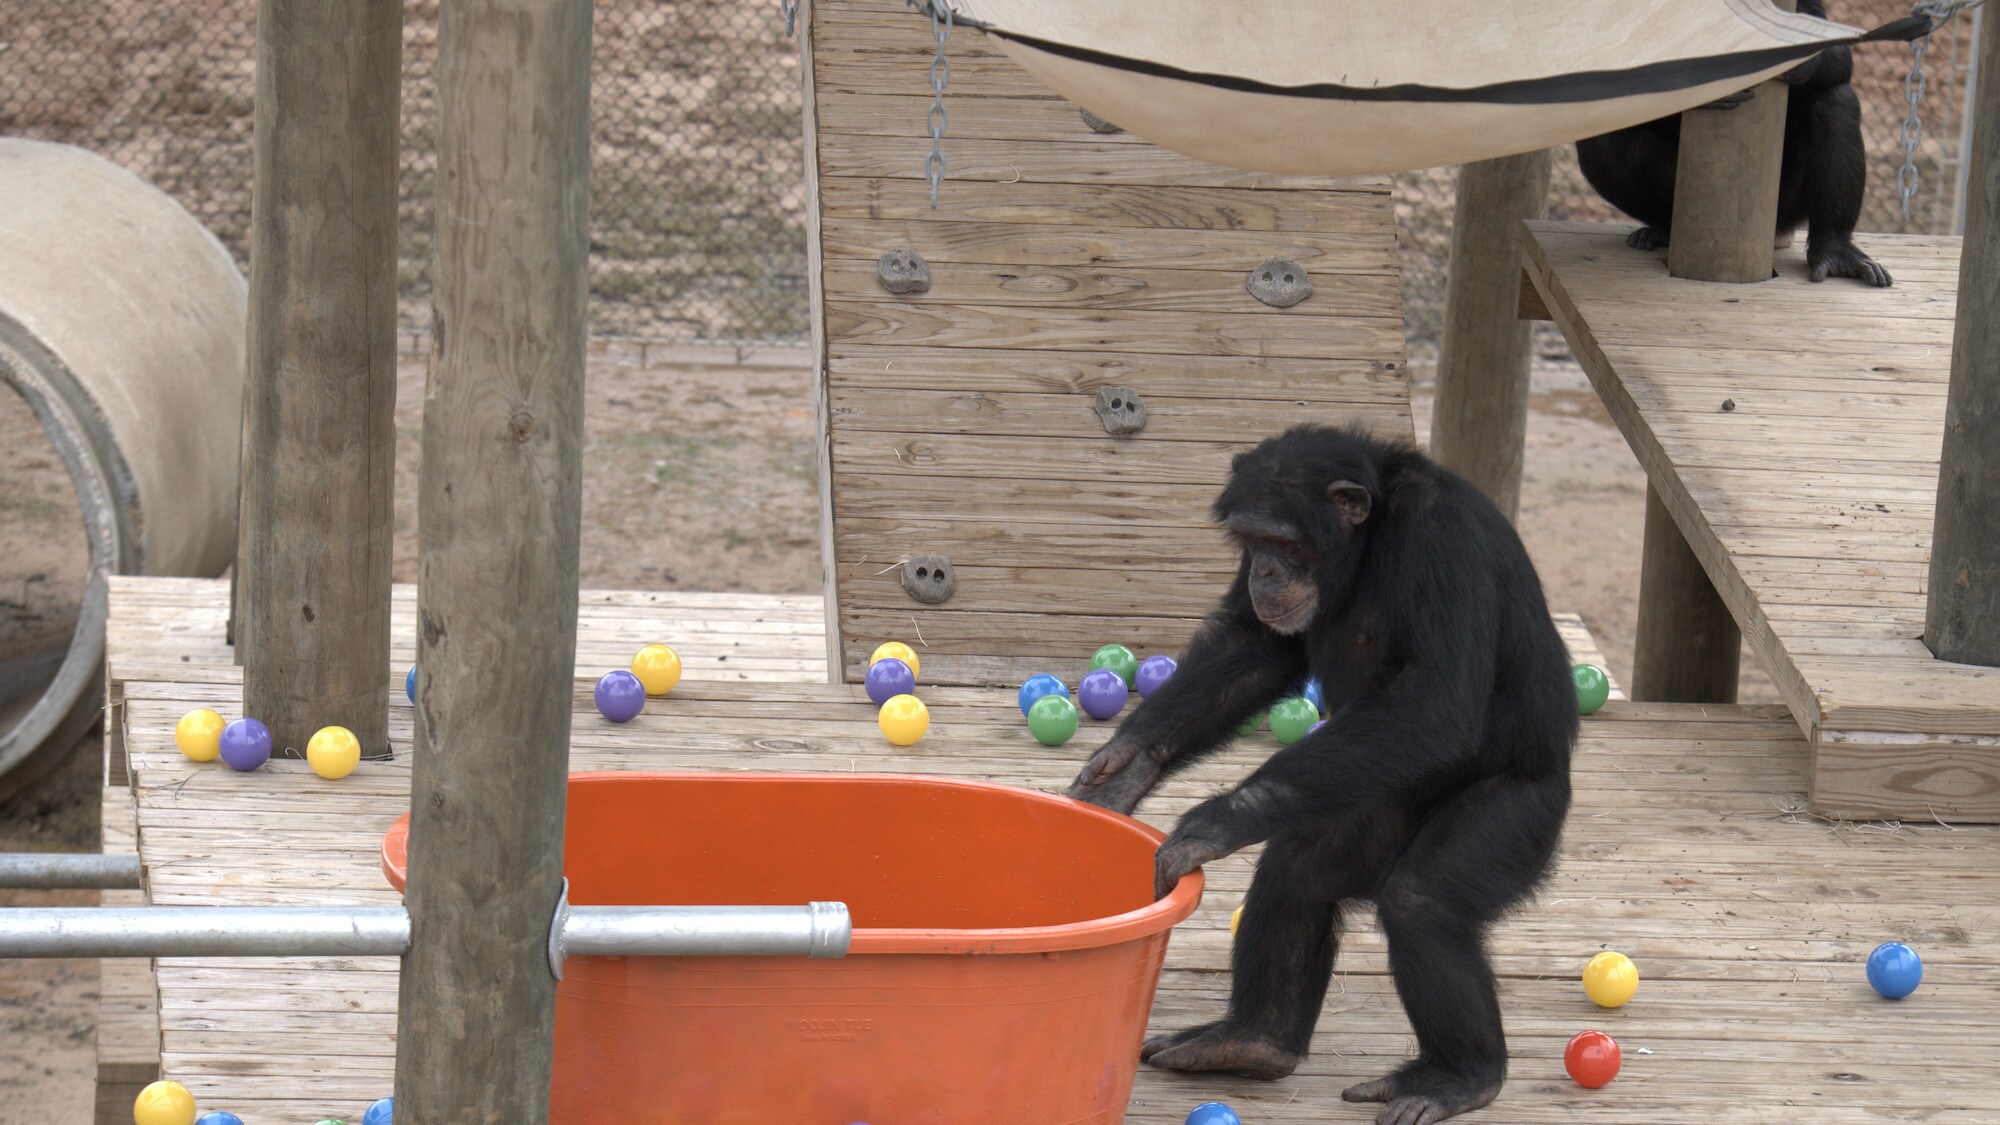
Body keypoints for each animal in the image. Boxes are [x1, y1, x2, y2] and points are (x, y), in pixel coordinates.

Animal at [1072, 422, 1568, 1120]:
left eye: (1284, 542)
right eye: (1252, 541)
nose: (1265, 569)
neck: (1370, 540)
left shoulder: (1443, 540)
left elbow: (1434, 700)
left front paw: (1216, 822)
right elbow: (1258, 645)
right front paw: (1131, 762)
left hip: (1526, 814)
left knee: (1422, 902)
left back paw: (1459, 1077)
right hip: (1360, 806)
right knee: (1298, 871)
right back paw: (1251, 1041)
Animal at [1576, 0, 1888, 284]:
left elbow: (1827, 40)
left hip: (1784, 205)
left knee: (1836, 103)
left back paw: (1836, 250)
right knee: (1601, 140)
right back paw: (1662, 228)